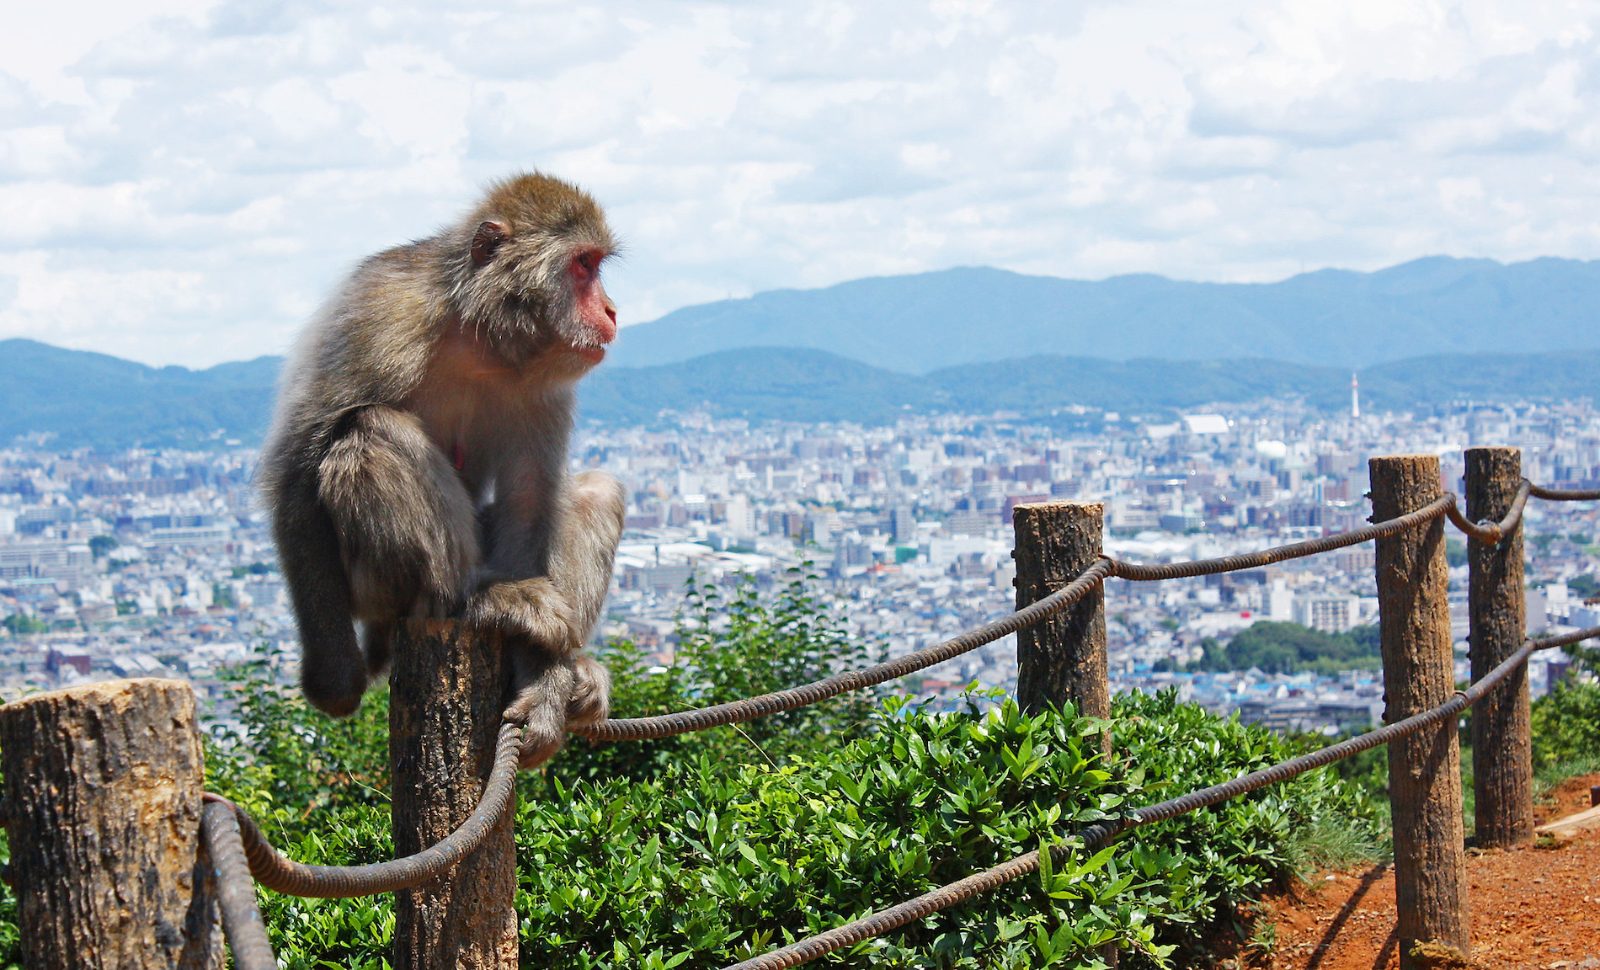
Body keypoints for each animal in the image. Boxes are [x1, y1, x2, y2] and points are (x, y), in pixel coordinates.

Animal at [258, 172, 625, 768]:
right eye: (582, 266)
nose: (612, 311)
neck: (476, 334)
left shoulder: (543, 385)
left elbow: (529, 502)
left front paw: (544, 684)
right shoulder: (378, 312)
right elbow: (296, 468)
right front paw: (335, 681)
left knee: (597, 491)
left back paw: (570, 667)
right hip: (371, 587)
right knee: (368, 432)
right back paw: (471, 599)